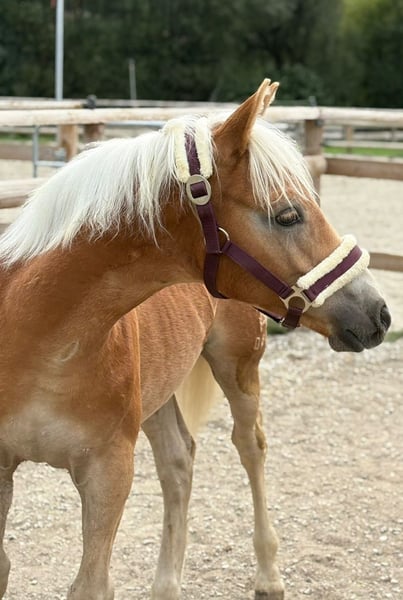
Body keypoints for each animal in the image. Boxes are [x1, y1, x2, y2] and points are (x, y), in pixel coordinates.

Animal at [0, 79, 390, 599]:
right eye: (288, 215)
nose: (379, 312)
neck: (42, 339)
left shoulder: (108, 474)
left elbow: (90, 584)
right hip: (162, 389)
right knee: (178, 462)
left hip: (238, 367)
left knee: (249, 446)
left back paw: (268, 576)